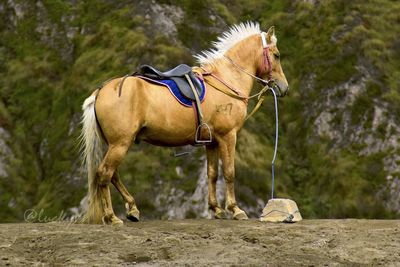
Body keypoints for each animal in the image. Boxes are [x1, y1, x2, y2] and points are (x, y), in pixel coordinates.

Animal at [81, 22, 288, 226]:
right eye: (276, 55)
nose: (284, 88)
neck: (226, 80)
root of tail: (101, 91)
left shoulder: (212, 142)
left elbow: (212, 174)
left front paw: (216, 209)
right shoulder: (228, 136)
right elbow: (229, 172)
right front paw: (235, 209)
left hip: (115, 144)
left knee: (113, 174)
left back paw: (132, 208)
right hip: (120, 144)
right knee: (105, 173)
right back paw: (112, 216)